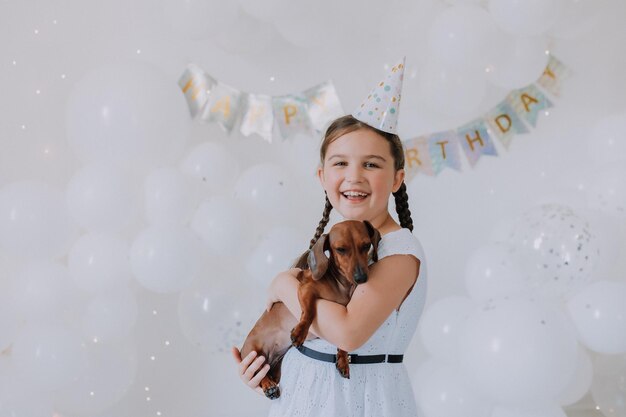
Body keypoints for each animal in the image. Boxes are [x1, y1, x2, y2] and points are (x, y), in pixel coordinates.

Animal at [240, 219, 380, 398]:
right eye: (341, 249)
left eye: (366, 245)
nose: (361, 278)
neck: (340, 284)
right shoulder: (306, 289)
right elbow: (309, 312)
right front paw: (300, 332)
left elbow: (342, 341)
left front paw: (343, 360)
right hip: (253, 354)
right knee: (260, 373)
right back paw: (268, 386)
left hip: (276, 367)